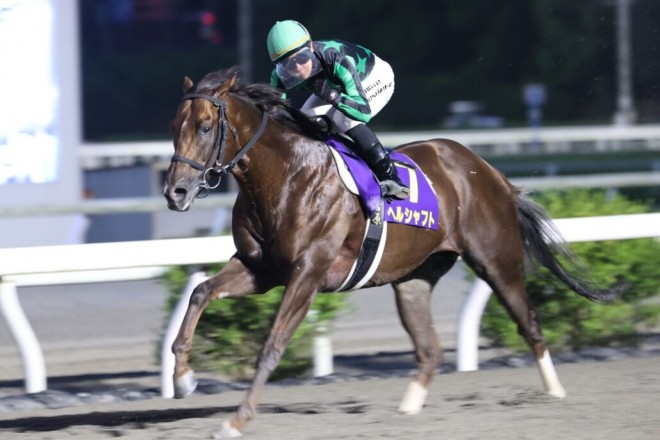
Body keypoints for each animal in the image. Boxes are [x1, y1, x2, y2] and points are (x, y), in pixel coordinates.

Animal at [163, 67, 619, 438]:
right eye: (174, 125)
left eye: (205, 126)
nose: (175, 192)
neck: (287, 174)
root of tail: (491, 173)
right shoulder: (260, 270)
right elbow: (201, 292)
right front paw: (184, 378)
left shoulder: (307, 274)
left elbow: (271, 345)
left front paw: (236, 421)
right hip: (414, 280)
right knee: (430, 349)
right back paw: (408, 410)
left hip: (496, 262)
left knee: (530, 323)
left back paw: (555, 391)